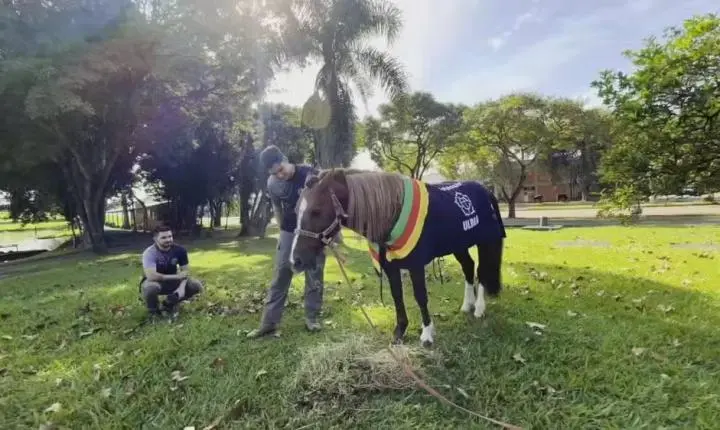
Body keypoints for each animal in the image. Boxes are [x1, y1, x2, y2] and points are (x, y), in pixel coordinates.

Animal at [290, 168, 506, 347]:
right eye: (296, 211)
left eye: (316, 211)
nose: (295, 261)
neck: (391, 213)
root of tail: (485, 189)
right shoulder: (390, 266)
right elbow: (397, 297)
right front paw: (399, 332)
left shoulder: (416, 265)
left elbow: (420, 297)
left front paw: (427, 334)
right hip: (458, 244)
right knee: (468, 267)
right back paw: (466, 306)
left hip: (486, 241)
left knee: (482, 271)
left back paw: (479, 309)